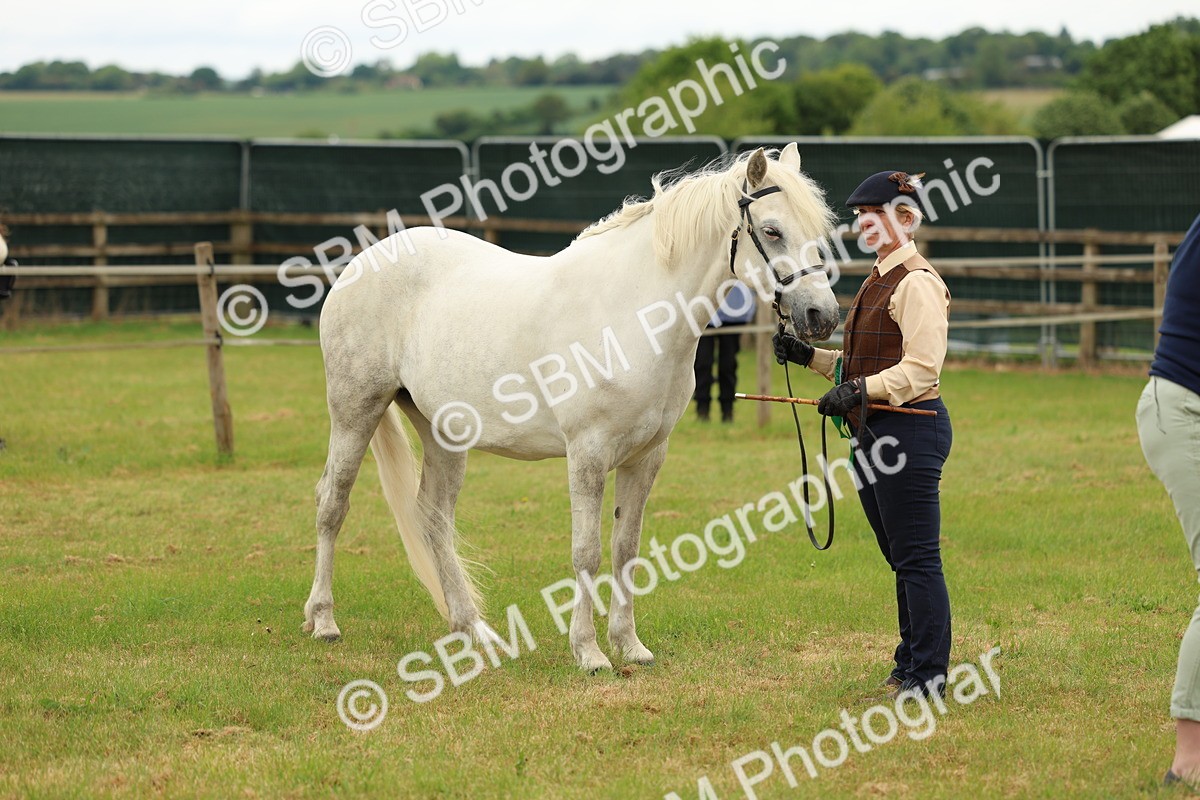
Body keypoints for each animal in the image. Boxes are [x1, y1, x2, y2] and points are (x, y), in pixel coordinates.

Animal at [303, 143, 840, 671]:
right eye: (772, 231)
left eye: (818, 232)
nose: (823, 316)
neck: (632, 314)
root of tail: (362, 263)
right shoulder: (588, 453)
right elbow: (587, 553)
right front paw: (589, 652)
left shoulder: (647, 457)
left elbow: (626, 548)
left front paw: (629, 644)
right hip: (355, 410)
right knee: (333, 502)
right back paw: (324, 621)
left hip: (443, 432)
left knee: (433, 517)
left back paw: (475, 631)